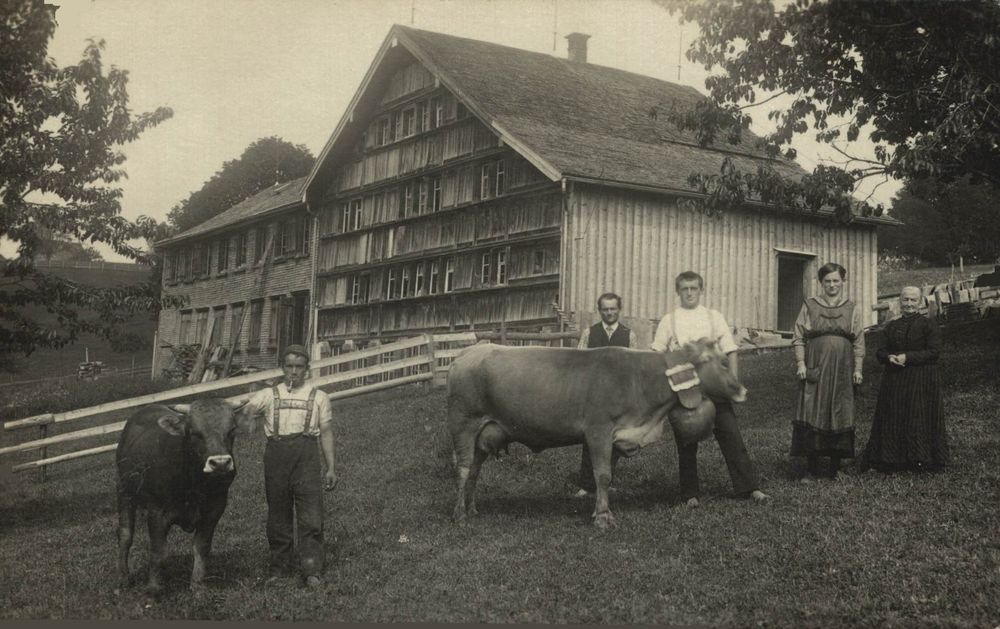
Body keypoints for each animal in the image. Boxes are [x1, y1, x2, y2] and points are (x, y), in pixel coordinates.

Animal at [450, 338, 748, 524]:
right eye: (721, 362)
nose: (743, 390)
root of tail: (468, 352)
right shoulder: (598, 430)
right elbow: (602, 475)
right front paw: (603, 518)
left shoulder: (617, 436)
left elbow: (607, 476)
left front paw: (599, 511)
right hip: (464, 424)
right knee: (463, 469)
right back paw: (460, 515)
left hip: (484, 434)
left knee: (474, 470)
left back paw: (473, 509)